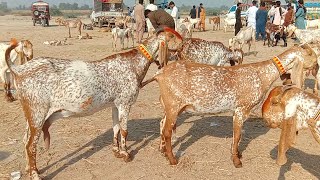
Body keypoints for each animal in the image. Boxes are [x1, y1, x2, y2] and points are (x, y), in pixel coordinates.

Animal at [4, 27, 182, 179]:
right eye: (173, 38)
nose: (183, 43)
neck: (133, 63)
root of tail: (19, 70)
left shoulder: (115, 105)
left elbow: (116, 128)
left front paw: (116, 151)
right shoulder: (125, 103)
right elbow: (124, 131)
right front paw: (126, 154)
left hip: (31, 115)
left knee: (25, 140)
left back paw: (29, 168)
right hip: (38, 113)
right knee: (30, 145)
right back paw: (35, 174)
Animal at [143, 43, 318, 167]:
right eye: (314, 58)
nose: (317, 69)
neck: (263, 73)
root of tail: (159, 74)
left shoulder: (238, 112)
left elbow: (237, 135)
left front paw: (238, 154)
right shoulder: (242, 109)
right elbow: (238, 135)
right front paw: (237, 161)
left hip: (171, 107)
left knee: (162, 123)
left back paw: (162, 150)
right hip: (173, 106)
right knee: (167, 131)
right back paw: (172, 160)